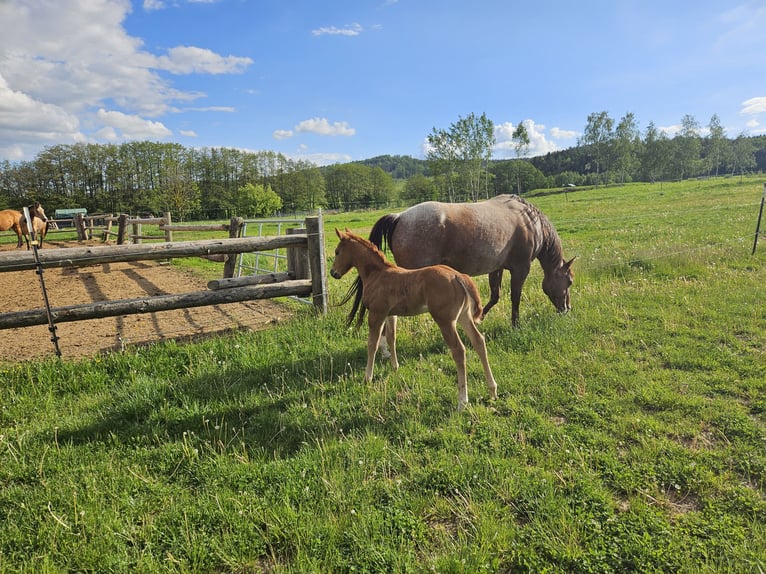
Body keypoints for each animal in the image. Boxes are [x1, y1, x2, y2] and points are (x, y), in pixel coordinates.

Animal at [331, 228, 498, 411]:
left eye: (337, 252)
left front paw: (368, 377)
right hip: (464, 316)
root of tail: (457, 276)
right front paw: (395, 367)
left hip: (445, 321)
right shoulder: (391, 314)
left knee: (459, 350)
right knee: (479, 341)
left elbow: (372, 344)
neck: (377, 274)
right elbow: (391, 338)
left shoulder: (376, 314)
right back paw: (492, 390)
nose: (333, 273)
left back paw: (462, 401)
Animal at [360, 194, 575, 328]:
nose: (567, 309)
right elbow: (515, 297)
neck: (530, 221)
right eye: (570, 281)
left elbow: (495, 296)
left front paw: (479, 317)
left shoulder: (496, 268)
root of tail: (400, 217)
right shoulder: (520, 269)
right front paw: (515, 325)